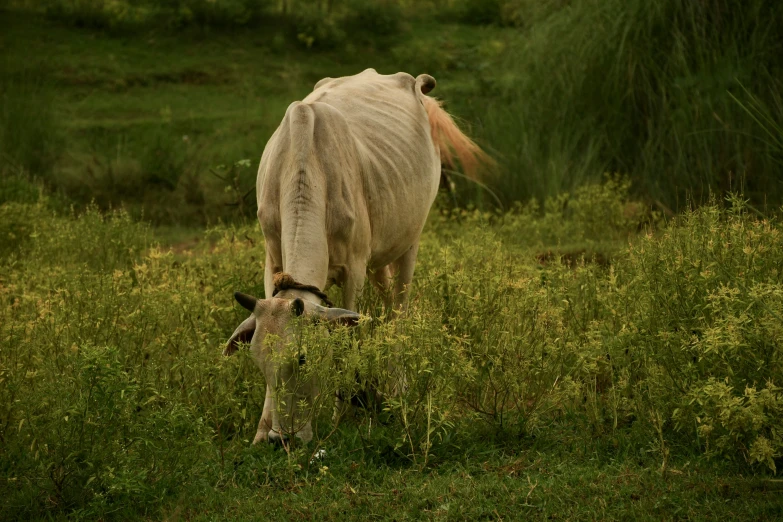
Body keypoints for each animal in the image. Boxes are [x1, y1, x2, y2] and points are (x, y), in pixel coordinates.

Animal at [224, 68, 486, 442]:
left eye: (303, 358)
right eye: (258, 361)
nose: (283, 439)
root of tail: (410, 81)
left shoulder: (354, 270)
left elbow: (347, 340)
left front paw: (341, 415)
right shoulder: (272, 260)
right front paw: (262, 430)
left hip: (410, 241)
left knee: (398, 311)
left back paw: (396, 387)